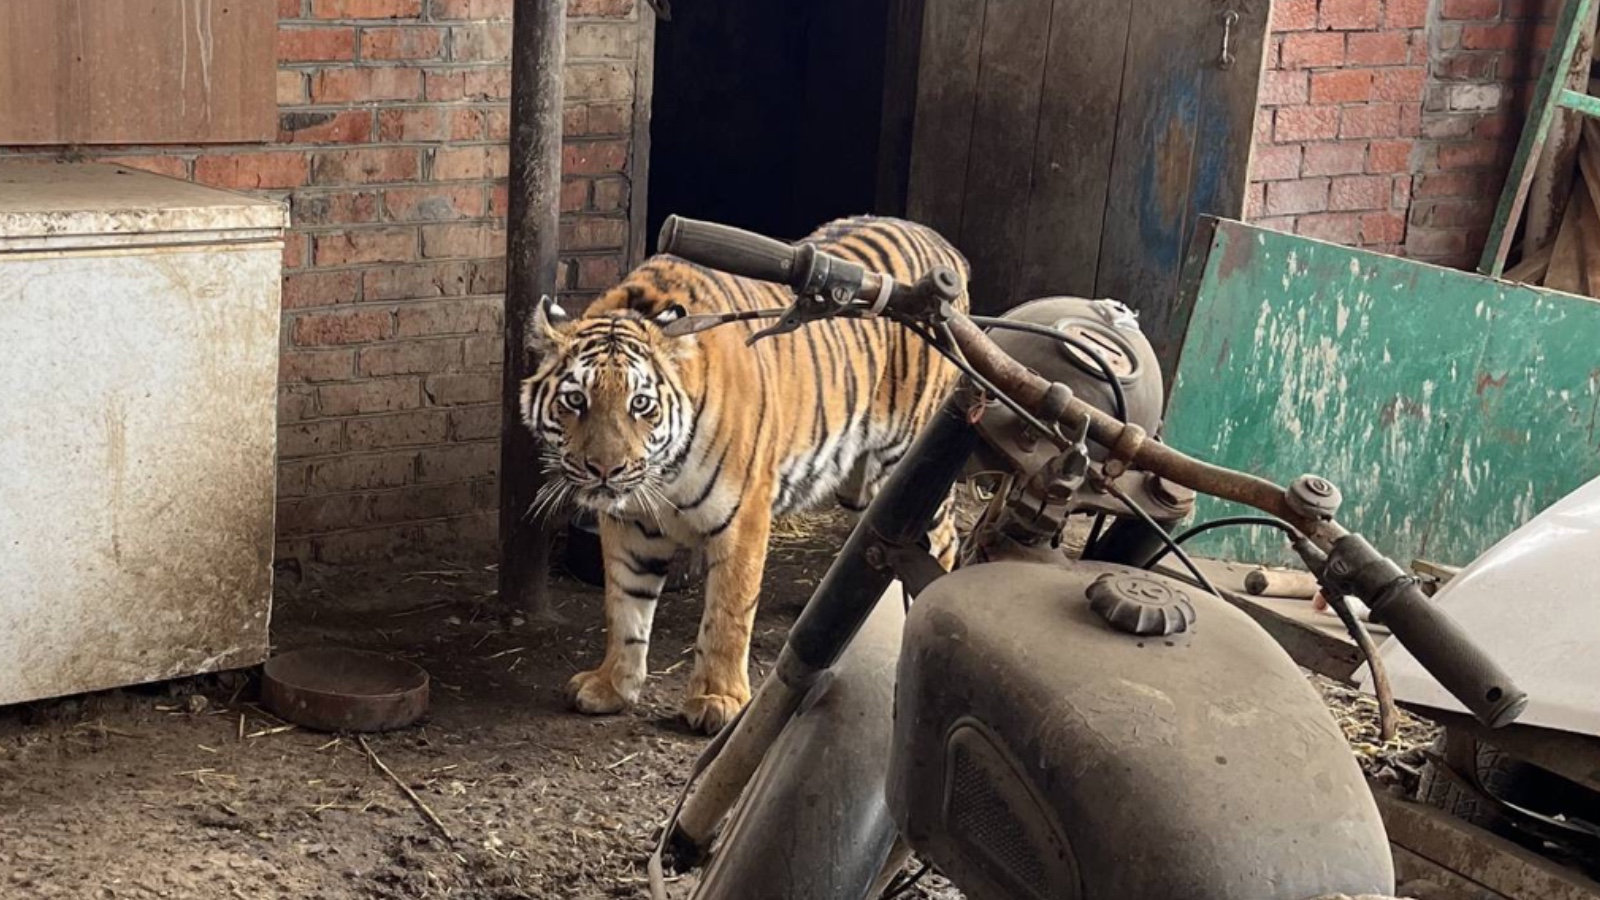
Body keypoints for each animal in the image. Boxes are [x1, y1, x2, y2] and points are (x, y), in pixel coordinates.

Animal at [524, 212, 966, 733]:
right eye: (576, 400)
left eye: (641, 405)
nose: (604, 470)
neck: (663, 475)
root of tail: (941, 242)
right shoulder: (629, 524)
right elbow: (625, 605)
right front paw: (611, 685)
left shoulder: (743, 518)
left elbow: (728, 613)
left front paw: (717, 699)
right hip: (867, 483)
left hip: (912, 459)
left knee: (943, 540)